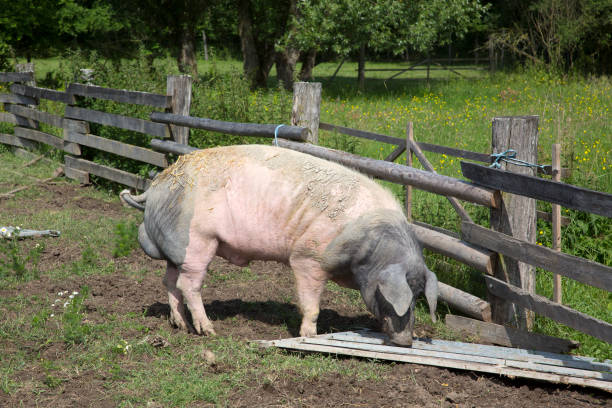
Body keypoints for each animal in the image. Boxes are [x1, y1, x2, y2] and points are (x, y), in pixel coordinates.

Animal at [119, 145, 438, 346]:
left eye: (418, 297)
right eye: (394, 296)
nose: (406, 342)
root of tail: (155, 187)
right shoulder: (308, 258)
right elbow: (310, 304)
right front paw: (309, 337)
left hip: (178, 251)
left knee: (170, 282)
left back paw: (180, 326)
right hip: (198, 242)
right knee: (188, 285)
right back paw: (208, 331)